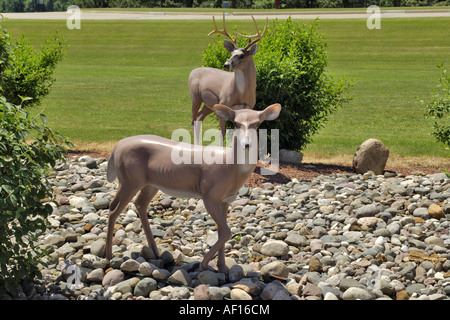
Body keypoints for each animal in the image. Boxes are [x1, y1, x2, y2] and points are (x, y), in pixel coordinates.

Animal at [187, 13, 268, 145]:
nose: (226, 64)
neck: (241, 93)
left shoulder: (247, 108)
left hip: (209, 104)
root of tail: (192, 71)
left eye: (242, 55)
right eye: (231, 54)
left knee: (199, 117)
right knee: (193, 119)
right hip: (195, 96)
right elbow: (222, 132)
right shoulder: (223, 103)